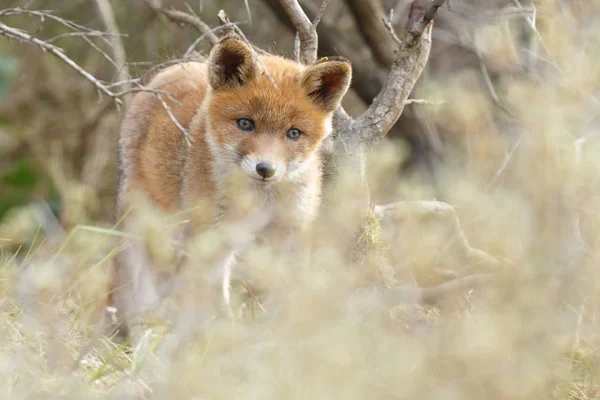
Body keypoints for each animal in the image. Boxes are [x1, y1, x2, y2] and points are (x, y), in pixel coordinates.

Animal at [109, 34, 352, 340]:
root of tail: (175, 68)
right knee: (141, 294)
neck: (259, 200)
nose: (265, 169)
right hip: (149, 229)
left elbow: (287, 295)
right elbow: (208, 303)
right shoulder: (210, 237)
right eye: (245, 124)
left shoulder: (291, 231)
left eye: (293, 133)